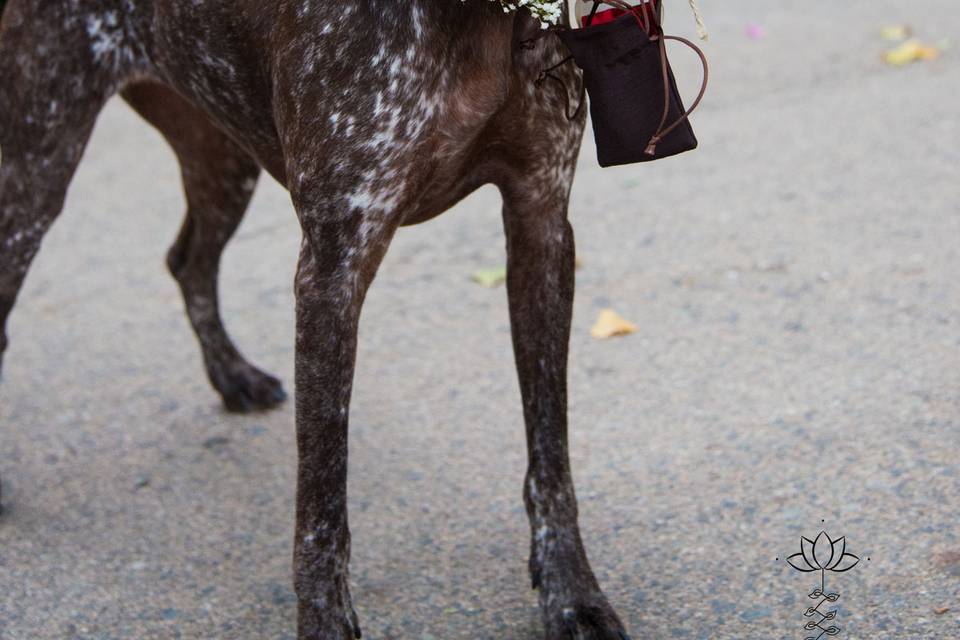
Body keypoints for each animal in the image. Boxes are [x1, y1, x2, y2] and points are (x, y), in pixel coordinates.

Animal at [1, 1, 632, 640]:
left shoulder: (541, 217)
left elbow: (550, 454)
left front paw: (572, 594)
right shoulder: (334, 269)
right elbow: (322, 502)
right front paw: (327, 620)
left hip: (221, 153)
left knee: (188, 261)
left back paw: (233, 375)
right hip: (37, 169)